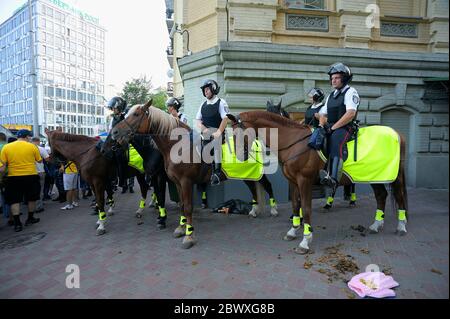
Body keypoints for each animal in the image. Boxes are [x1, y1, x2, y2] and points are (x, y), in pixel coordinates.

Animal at [227, 110, 410, 255]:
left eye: (239, 134)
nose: (239, 157)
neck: (294, 142)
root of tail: (397, 134)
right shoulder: (293, 182)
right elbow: (296, 206)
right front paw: (293, 231)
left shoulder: (305, 181)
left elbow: (306, 208)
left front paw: (305, 241)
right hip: (375, 176)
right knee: (381, 195)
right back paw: (376, 225)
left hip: (392, 176)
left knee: (399, 196)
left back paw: (401, 227)